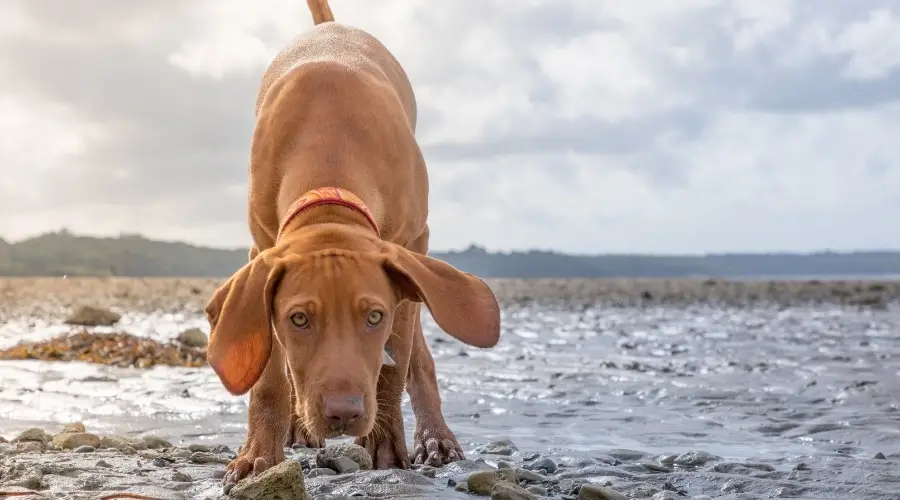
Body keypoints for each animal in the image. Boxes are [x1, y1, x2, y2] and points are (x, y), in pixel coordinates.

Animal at [201, 0, 502, 484]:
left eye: (374, 317)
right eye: (299, 319)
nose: (343, 414)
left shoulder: (409, 252)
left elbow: (393, 368)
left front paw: (385, 446)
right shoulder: (260, 250)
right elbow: (268, 378)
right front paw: (259, 455)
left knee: (419, 357)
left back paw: (435, 439)